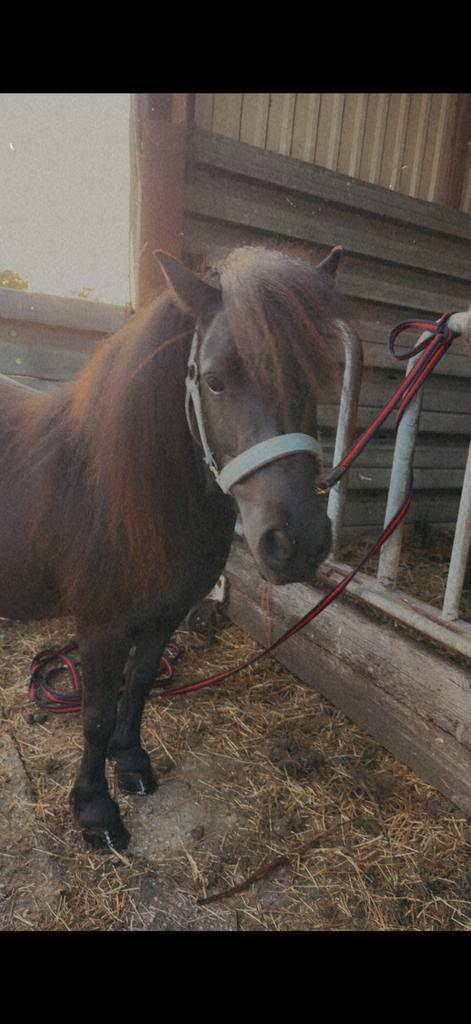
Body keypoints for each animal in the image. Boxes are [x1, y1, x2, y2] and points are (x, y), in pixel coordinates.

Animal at [0, 243, 352, 851]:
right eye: (214, 381)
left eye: (311, 375)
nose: (298, 542)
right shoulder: (101, 627)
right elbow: (95, 713)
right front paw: (95, 811)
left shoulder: (164, 615)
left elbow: (139, 685)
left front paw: (132, 762)